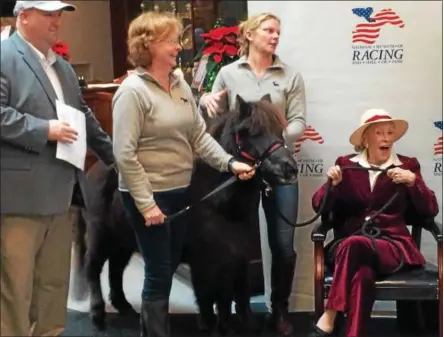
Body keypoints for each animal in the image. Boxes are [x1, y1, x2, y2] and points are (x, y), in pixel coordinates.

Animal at [72, 93, 298, 332]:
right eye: (254, 133)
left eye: (280, 131)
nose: (290, 169)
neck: (216, 199)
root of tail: (92, 171)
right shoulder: (203, 261)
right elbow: (207, 297)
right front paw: (210, 327)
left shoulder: (234, 256)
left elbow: (230, 294)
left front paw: (234, 325)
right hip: (100, 236)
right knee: (93, 268)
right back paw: (98, 315)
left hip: (123, 241)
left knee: (115, 269)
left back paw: (124, 307)